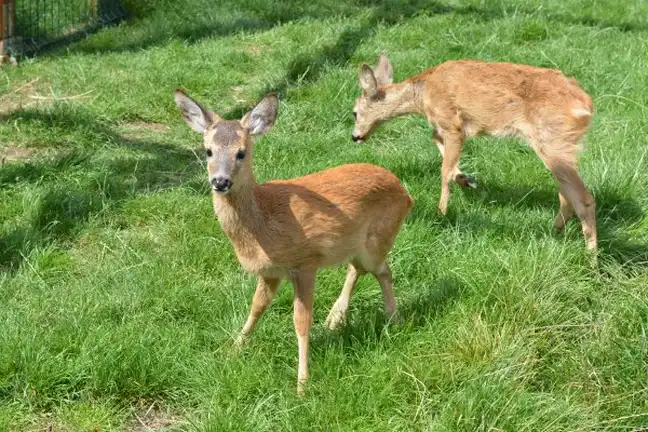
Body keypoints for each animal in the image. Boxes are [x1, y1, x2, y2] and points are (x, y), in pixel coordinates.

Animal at [173, 89, 416, 394]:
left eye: (241, 152)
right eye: (208, 151)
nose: (220, 182)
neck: (263, 225)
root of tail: (406, 192)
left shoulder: (305, 263)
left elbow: (301, 321)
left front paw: (302, 382)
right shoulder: (270, 272)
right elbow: (256, 308)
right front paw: (233, 348)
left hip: (379, 236)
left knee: (383, 270)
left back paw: (393, 318)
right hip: (356, 245)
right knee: (358, 268)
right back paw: (336, 318)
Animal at [354, 53, 596, 253]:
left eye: (354, 112)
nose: (355, 137)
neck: (423, 94)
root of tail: (586, 105)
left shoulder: (451, 123)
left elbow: (444, 170)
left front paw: (441, 213)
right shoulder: (447, 128)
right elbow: (441, 150)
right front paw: (466, 180)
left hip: (553, 139)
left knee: (584, 198)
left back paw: (591, 261)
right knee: (566, 195)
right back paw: (556, 233)